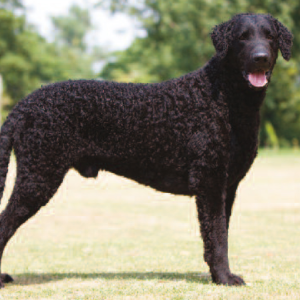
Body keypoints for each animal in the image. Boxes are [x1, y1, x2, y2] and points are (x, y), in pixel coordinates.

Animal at [0, 13, 292, 286]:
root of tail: (23, 104)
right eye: (242, 37)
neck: (224, 96)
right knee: (5, 223)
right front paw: (224, 278)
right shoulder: (210, 182)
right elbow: (218, 237)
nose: (260, 58)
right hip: (38, 177)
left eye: (270, 36)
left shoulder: (226, 187)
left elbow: (219, 236)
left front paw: (218, 275)